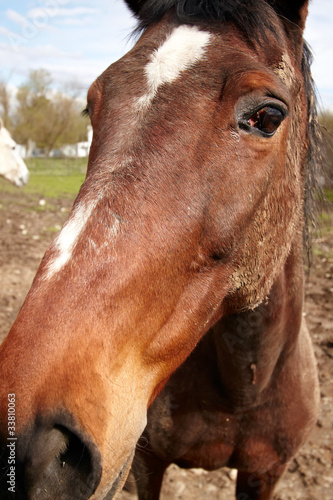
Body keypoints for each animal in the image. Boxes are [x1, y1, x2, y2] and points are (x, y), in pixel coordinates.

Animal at [0, 0, 320, 500]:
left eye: (268, 117)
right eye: (91, 105)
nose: (35, 446)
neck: (243, 388)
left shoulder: (265, 473)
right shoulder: (149, 464)